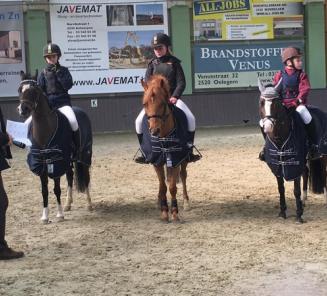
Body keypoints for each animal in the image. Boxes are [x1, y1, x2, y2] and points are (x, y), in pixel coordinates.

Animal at [142, 74, 192, 222]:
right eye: (145, 104)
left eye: (163, 104)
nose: (154, 131)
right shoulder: (156, 161)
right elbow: (163, 186)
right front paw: (164, 211)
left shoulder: (175, 159)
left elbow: (172, 186)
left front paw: (174, 212)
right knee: (163, 181)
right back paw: (159, 201)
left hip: (183, 159)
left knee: (183, 175)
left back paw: (186, 202)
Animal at [260, 80, 326, 223]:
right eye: (261, 102)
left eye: (276, 103)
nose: (268, 126)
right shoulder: (278, 165)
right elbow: (281, 189)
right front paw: (282, 212)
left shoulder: (294, 163)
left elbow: (296, 190)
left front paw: (299, 215)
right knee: (306, 173)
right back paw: (304, 200)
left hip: (323, 155)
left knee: (323, 174)